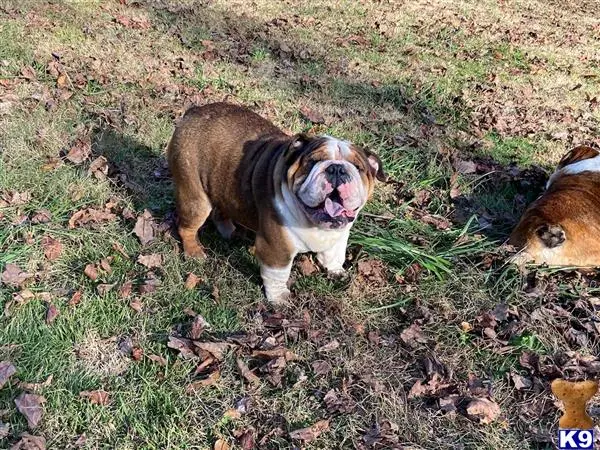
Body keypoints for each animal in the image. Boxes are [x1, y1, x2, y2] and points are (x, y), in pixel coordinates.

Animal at [166, 103, 386, 302]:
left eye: (358, 167)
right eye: (313, 162)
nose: (337, 169)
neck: (313, 222)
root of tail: (194, 111)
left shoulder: (339, 236)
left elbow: (335, 255)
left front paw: (336, 271)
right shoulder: (277, 247)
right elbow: (277, 274)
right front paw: (279, 298)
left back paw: (229, 231)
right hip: (195, 198)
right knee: (186, 227)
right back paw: (194, 252)